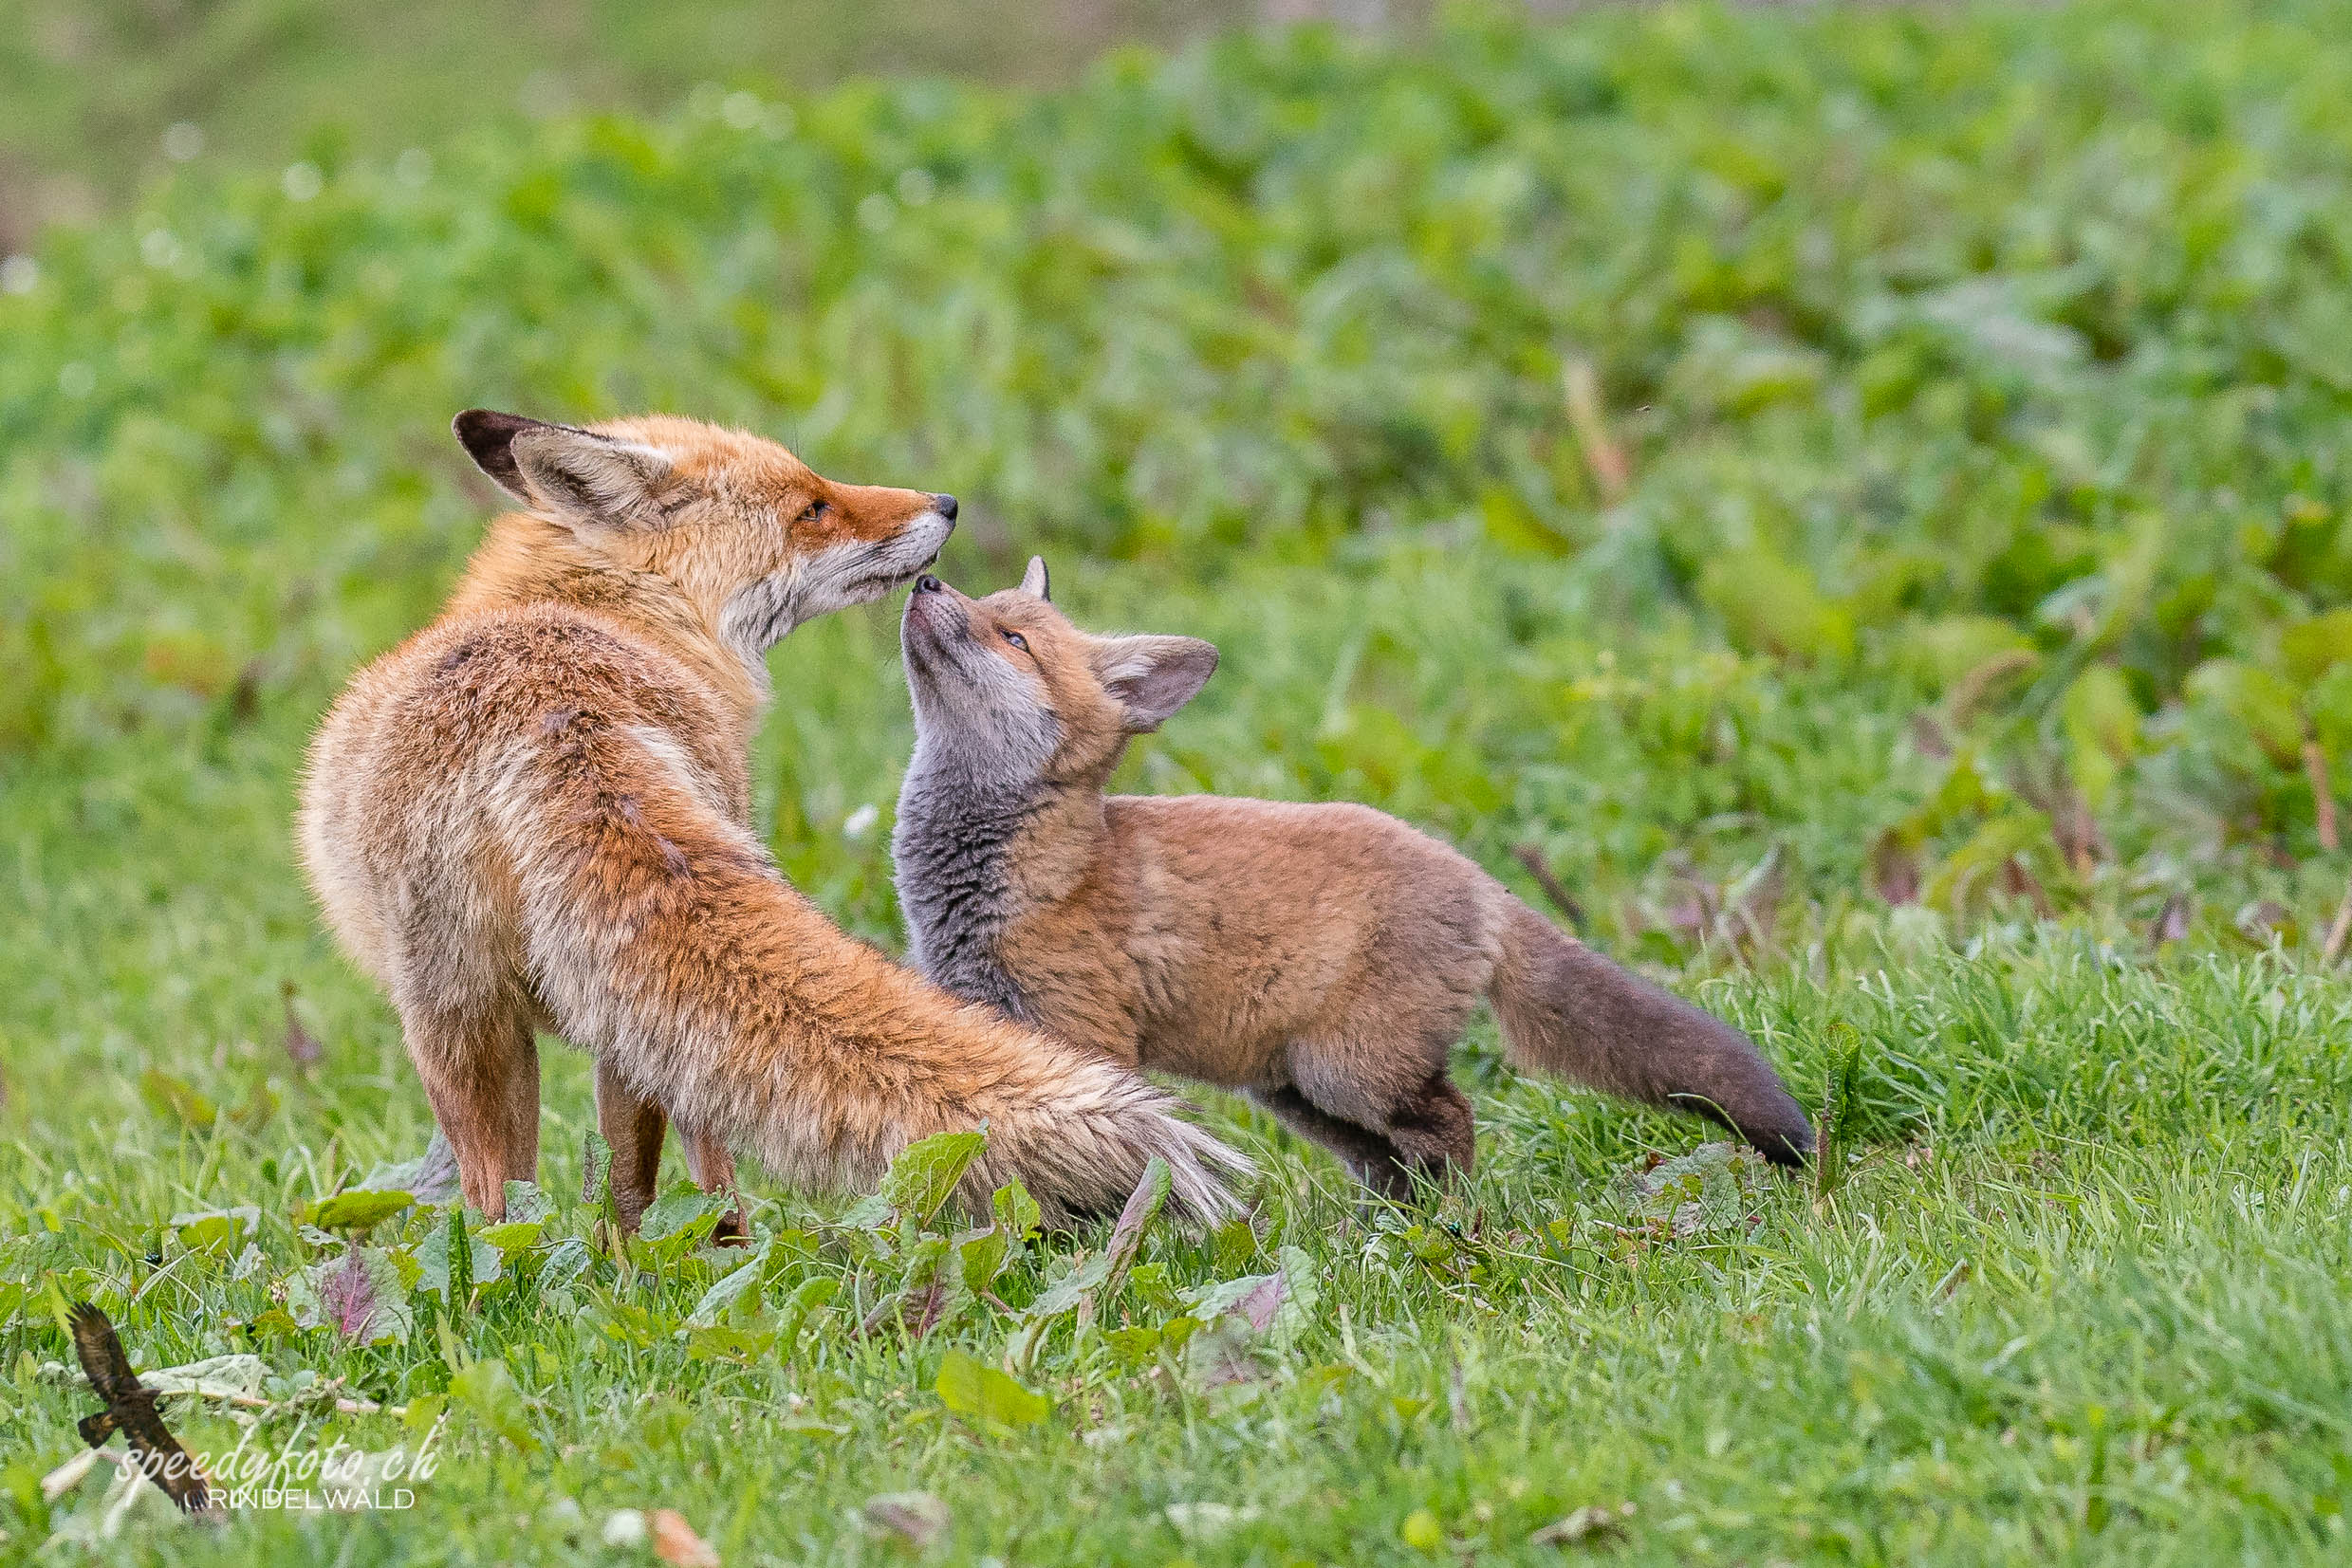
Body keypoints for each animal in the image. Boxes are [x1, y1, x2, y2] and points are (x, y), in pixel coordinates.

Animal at [296, 415, 1250, 1241]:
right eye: (814, 507)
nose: (946, 504)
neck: (608, 616)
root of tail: (558, 713)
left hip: (472, 1018)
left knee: (538, 1200)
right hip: (473, 1017)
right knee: (606, 1181)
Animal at [889, 563, 1806, 1203]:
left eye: (1013, 638)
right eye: (980, 599)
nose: (926, 579)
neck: (1026, 876)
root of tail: (1480, 878)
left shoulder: (1086, 1037)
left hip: (1351, 1072)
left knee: (1453, 1121)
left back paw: (1454, 1230)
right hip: (1300, 1093)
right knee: (1397, 1163)